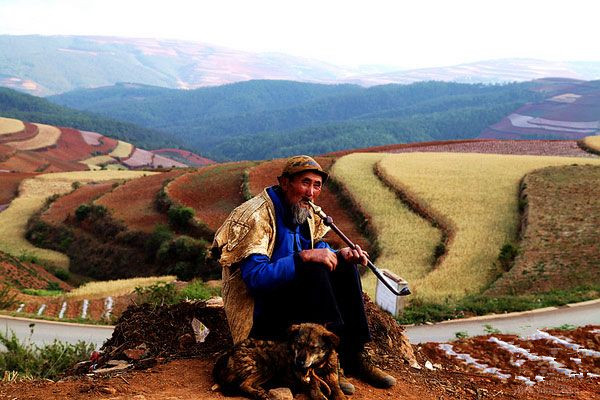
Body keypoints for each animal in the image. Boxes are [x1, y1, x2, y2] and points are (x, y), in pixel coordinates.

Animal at [213, 324, 346, 398]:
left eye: (313, 348)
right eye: (299, 344)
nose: (299, 362)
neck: (318, 367)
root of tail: (230, 351)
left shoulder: (333, 382)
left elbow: (340, 394)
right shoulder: (313, 389)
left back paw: (261, 390)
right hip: (268, 367)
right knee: (243, 384)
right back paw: (257, 394)